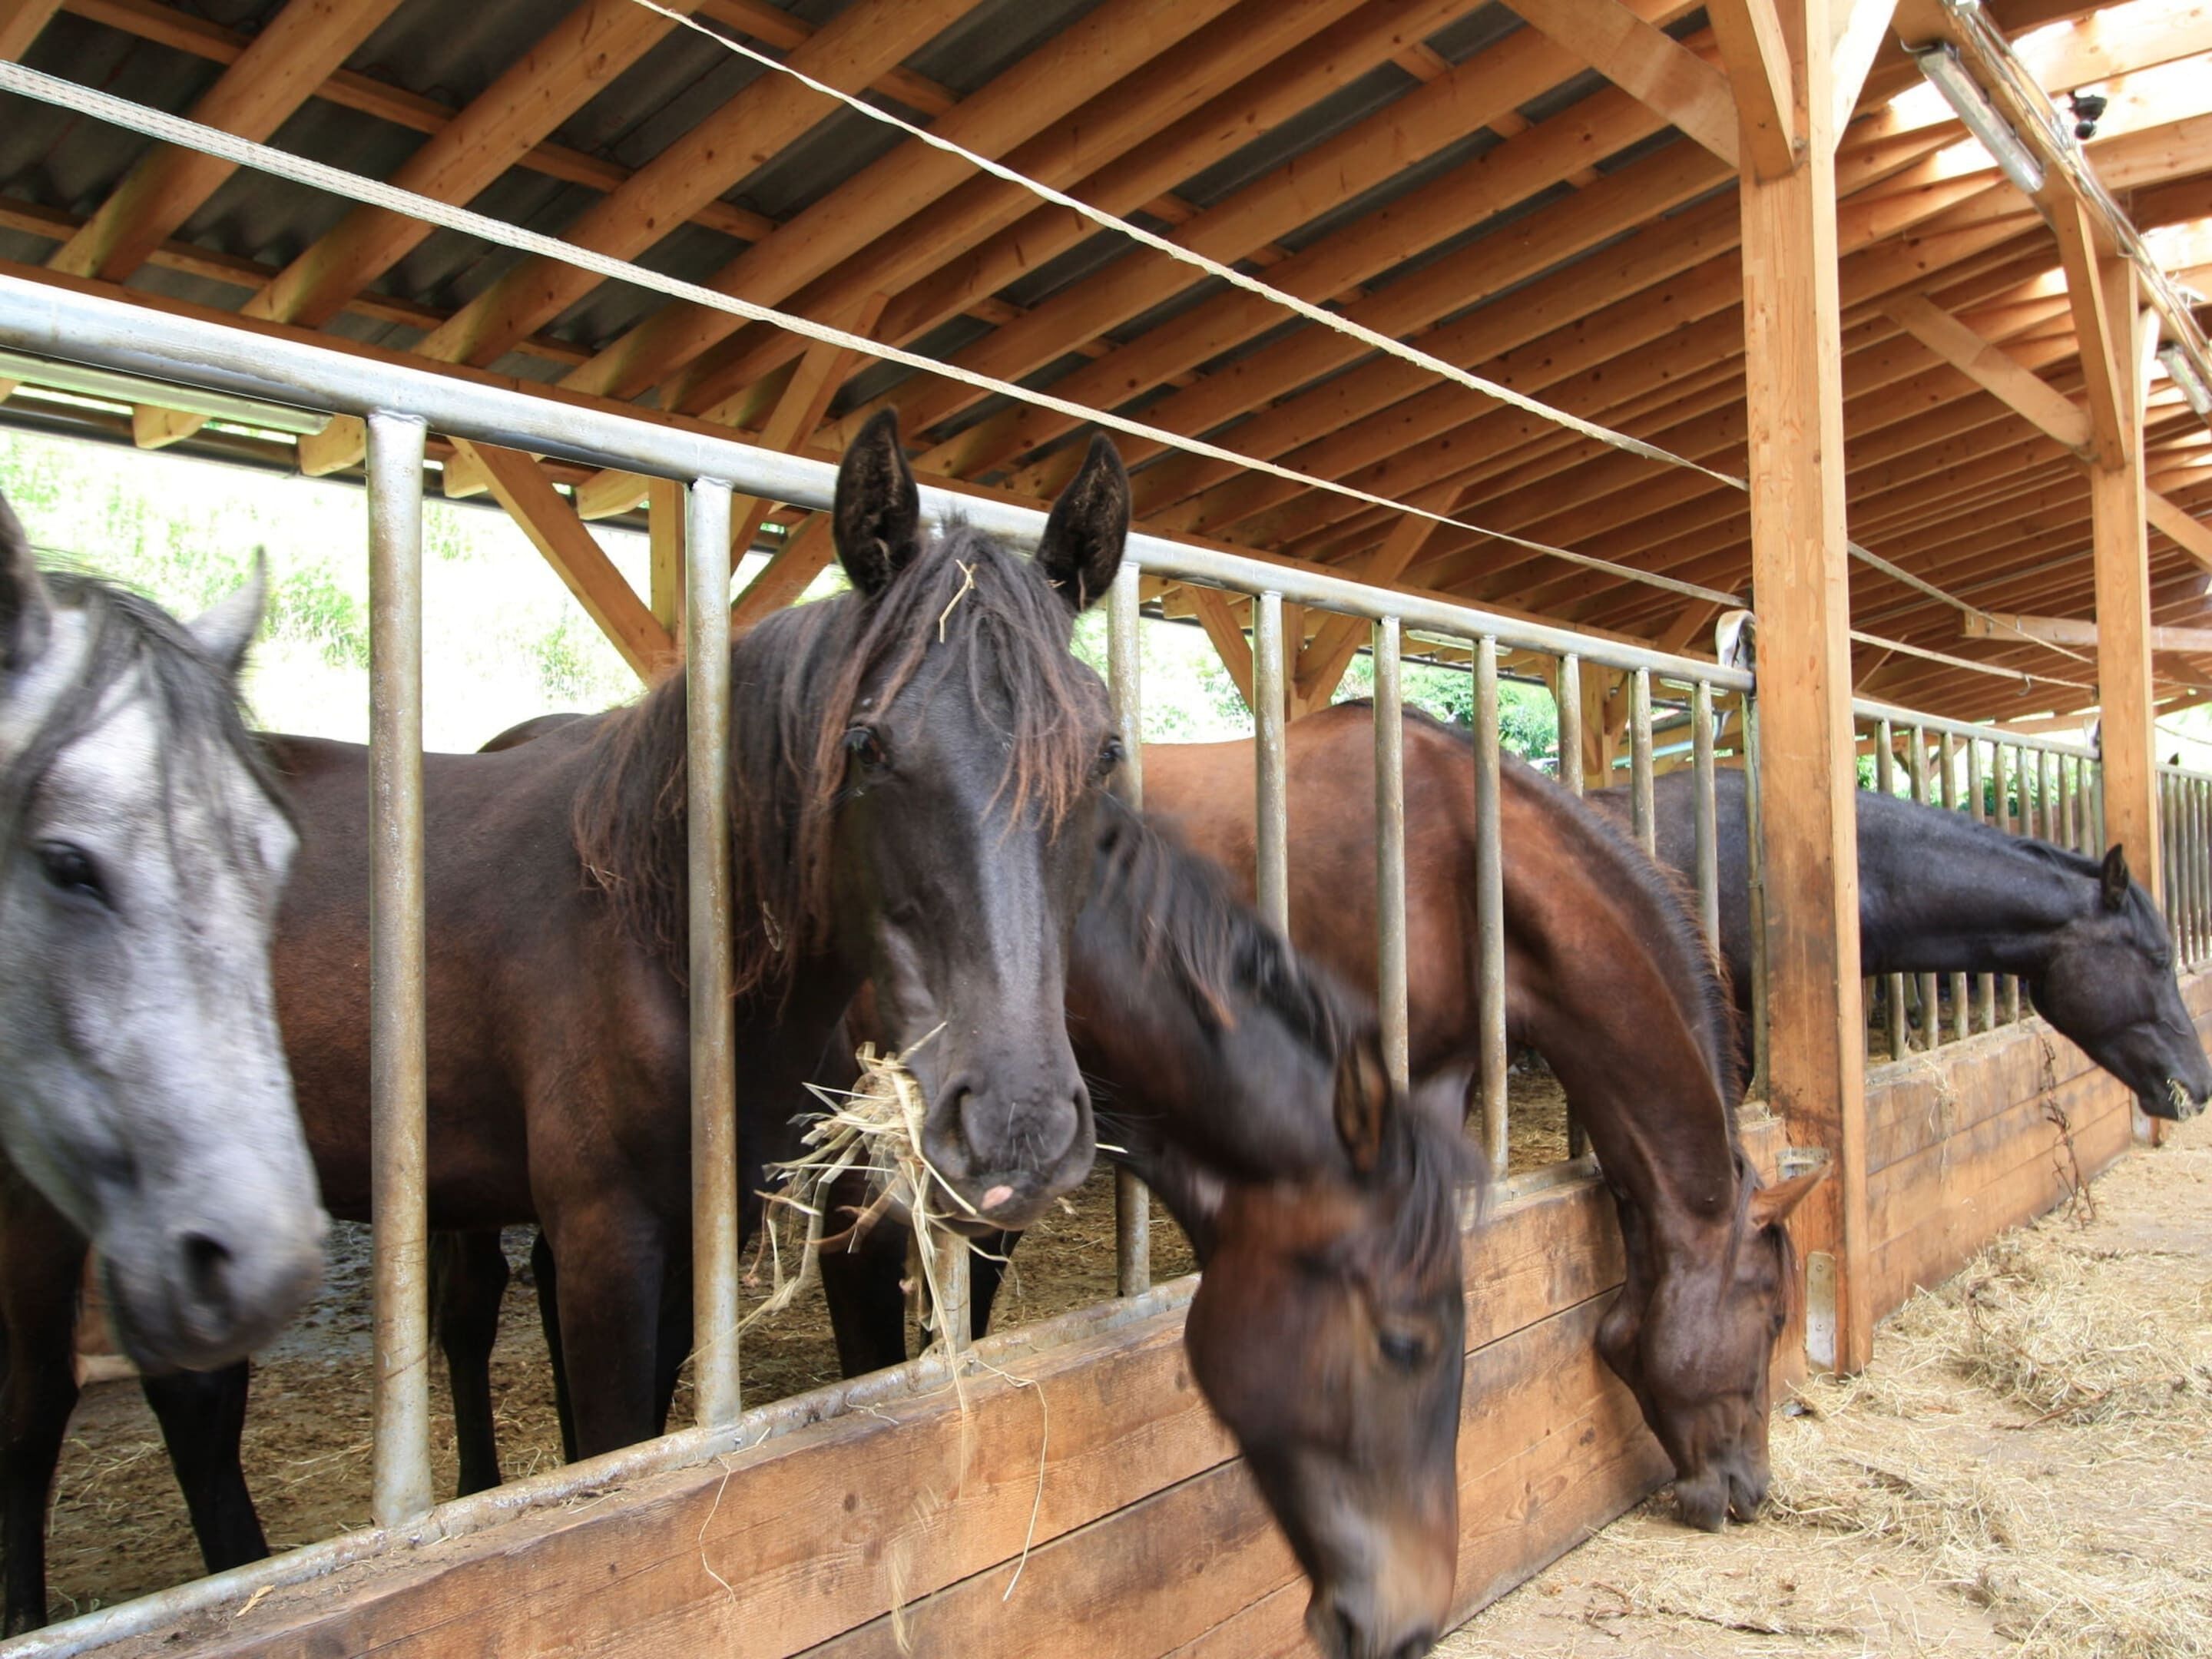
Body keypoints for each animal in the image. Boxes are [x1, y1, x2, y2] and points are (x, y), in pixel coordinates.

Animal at [0, 412, 1132, 1631]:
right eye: (867, 745)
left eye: (1105, 754)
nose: (1018, 1125)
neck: (658, 934)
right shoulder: (608, 1239)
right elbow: (617, 1447)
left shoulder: (697, 1222)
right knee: (48, 1402)